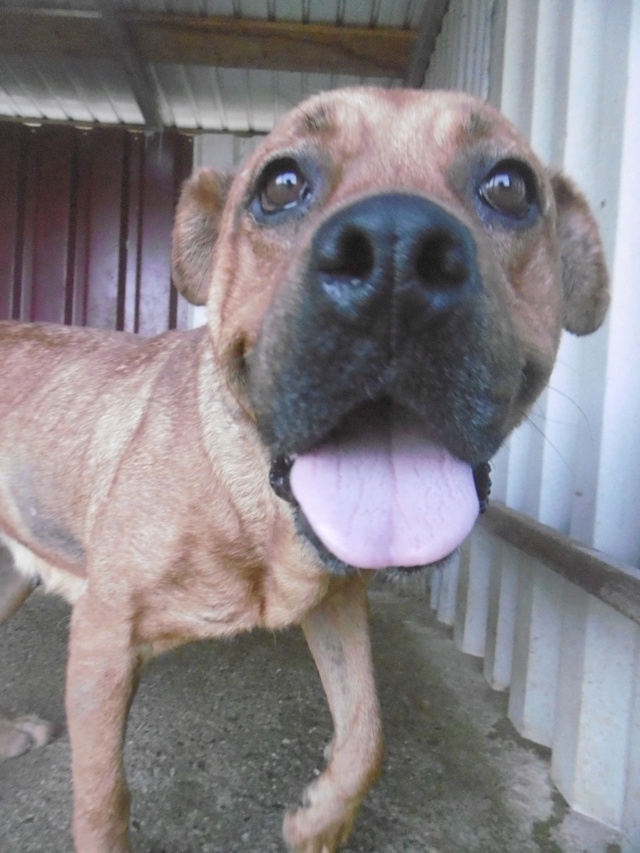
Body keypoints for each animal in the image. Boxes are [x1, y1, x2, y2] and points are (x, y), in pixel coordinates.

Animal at [0, 88, 608, 852]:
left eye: (509, 187)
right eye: (281, 184)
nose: (396, 253)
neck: (248, 503)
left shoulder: (336, 601)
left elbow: (367, 731)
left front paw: (322, 820)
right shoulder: (102, 639)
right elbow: (103, 799)